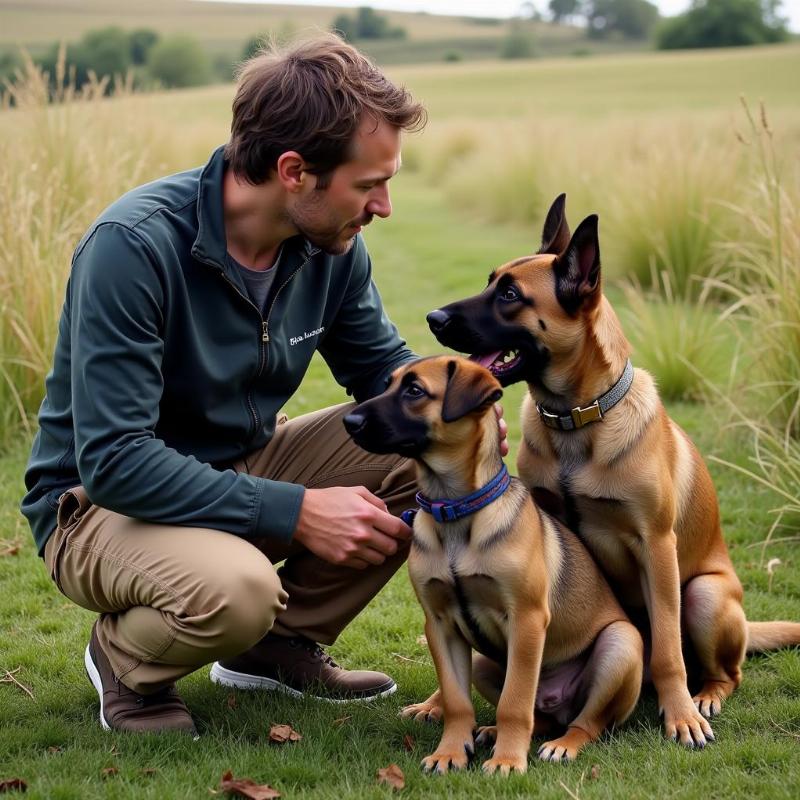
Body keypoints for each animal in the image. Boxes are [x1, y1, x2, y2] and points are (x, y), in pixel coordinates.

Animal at [340, 358, 640, 776]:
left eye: (414, 391)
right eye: (388, 384)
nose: (349, 420)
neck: (453, 510)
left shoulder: (526, 620)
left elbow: (515, 702)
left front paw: (508, 761)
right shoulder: (440, 623)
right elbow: (456, 701)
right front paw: (450, 752)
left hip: (621, 644)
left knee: (586, 722)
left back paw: (561, 745)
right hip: (483, 661)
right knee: (539, 716)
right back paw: (491, 732)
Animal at [424, 194, 800, 752]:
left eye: (510, 295)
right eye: (491, 281)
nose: (433, 317)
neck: (577, 423)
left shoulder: (656, 545)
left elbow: (666, 649)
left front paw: (679, 714)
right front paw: (440, 704)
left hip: (703, 595)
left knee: (723, 670)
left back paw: (704, 695)